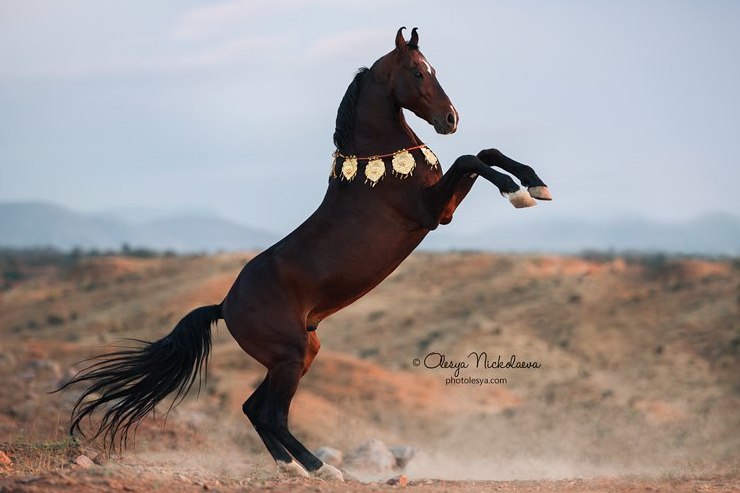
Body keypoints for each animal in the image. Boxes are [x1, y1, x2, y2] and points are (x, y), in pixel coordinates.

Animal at [57, 26, 552, 480]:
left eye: (434, 69)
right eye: (417, 72)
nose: (450, 119)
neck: (381, 164)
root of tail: (223, 305)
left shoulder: (440, 206)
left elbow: (485, 151)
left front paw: (537, 184)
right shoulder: (433, 211)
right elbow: (472, 159)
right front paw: (518, 194)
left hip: (298, 354)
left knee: (254, 409)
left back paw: (292, 467)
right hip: (290, 355)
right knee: (270, 413)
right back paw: (322, 468)